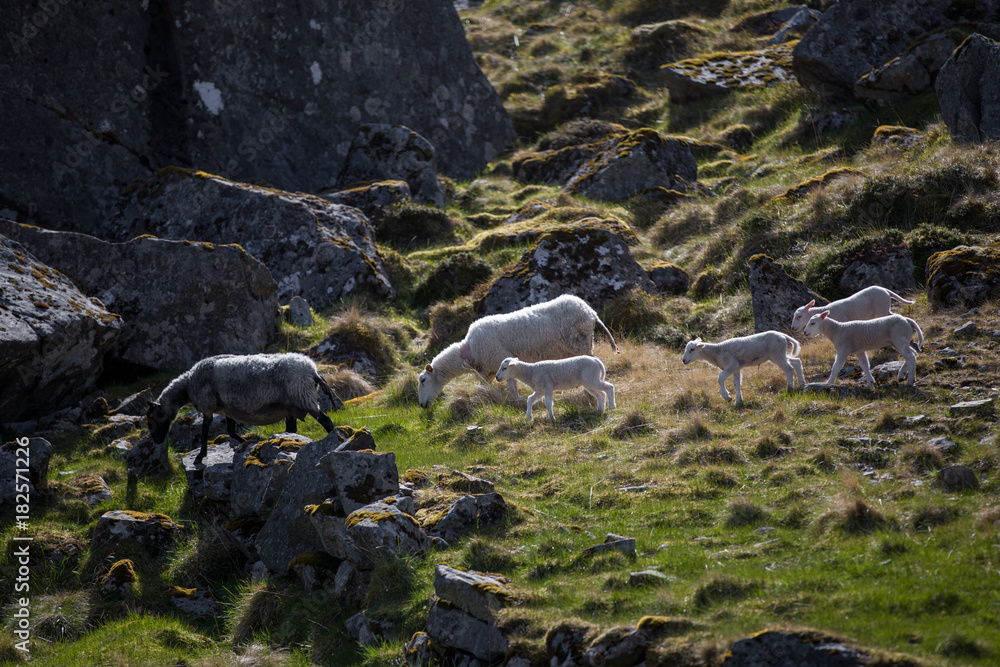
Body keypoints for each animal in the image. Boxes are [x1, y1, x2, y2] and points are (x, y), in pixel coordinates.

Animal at [143, 354, 342, 464]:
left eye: (154, 417)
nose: (157, 441)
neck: (187, 386)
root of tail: (313, 370)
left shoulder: (207, 405)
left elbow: (205, 430)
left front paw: (200, 456)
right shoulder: (228, 409)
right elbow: (231, 431)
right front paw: (248, 443)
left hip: (303, 397)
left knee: (326, 421)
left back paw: (333, 441)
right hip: (292, 405)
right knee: (292, 428)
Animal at [416, 296, 616, 408]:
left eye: (423, 380)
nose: (422, 406)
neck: (469, 350)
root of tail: (590, 311)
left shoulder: (500, 360)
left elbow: (511, 385)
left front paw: (516, 400)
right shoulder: (487, 372)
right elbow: (484, 388)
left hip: (580, 342)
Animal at [788, 286, 916, 332]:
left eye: (799, 316)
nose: (793, 328)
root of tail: (885, 290)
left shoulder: (843, 322)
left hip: (881, 308)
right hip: (882, 308)